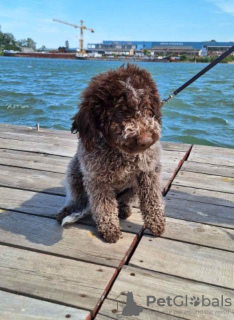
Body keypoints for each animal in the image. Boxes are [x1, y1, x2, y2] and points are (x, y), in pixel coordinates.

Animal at [56, 63, 165, 242]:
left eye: (146, 108)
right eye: (120, 112)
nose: (147, 140)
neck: (121, 154)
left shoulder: (149, 172)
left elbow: (152, 198)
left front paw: (157, 223)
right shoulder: (97, 180)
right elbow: (104, 206)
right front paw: (110, 229)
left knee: (125, 199)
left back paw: (123, 208)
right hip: (74, 170)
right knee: (77, 197)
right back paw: (69, 209)